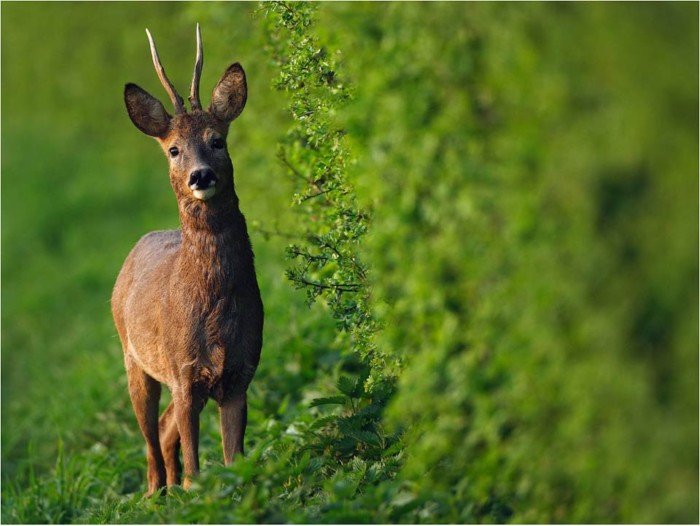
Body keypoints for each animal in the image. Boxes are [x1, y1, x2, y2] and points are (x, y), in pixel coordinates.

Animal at [110, 25, 264, 496]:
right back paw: (154, 492)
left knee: (163, 430)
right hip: (132, 357)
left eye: (218, 140)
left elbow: (234, 460)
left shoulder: (240, 373)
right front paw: (195, 494)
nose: (201, 175)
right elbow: (199, 470)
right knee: (148, 435)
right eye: (174, 150)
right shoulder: (182, 372)